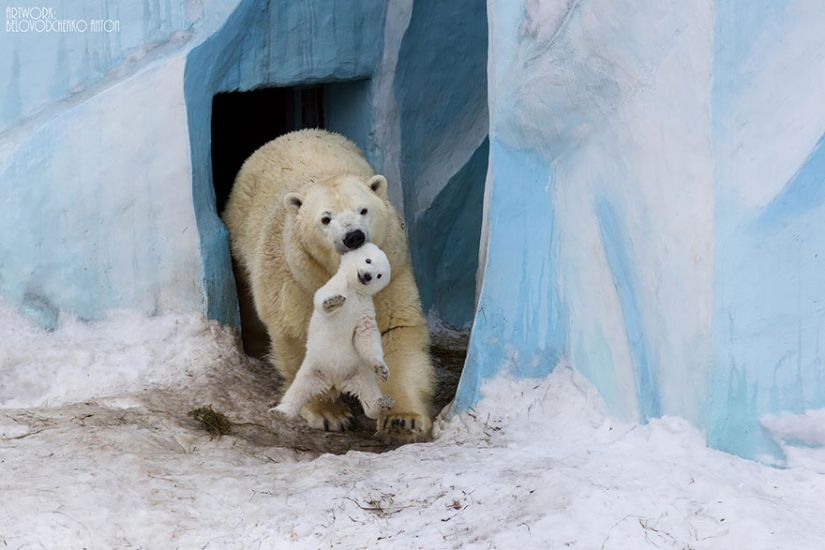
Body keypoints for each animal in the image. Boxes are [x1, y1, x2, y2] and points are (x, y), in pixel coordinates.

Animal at [271, 243, 396, 422]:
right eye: (368, 260)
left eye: (379, 275)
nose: (366, 276)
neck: (354, 290)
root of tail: (334, 382)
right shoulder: (334, 285)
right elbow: (321, 299)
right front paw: (333, 301)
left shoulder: (364, 309)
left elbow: (366, 335)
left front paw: (382, 370)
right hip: (313, 369)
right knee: (297, 390)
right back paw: (280, 411)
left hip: (358, 373)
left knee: (368, 392)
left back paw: (382, 404)